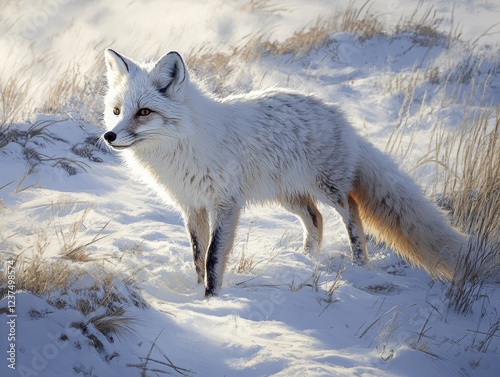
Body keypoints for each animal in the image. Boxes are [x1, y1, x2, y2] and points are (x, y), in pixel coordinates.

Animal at [103, 49, 466, 296]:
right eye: (117, 111)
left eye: (144, 112)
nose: (109, 136)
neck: (186, 144)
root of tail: (338, 114)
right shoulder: (192, 206)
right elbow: (197, 257)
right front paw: (197, 293)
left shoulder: (225, 203)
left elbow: (212, 258)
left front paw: (212, 298)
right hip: (288, 195)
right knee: (316, 220)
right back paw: (306, 261)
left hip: (327, 188)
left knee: (353, 215)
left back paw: (359, 264)